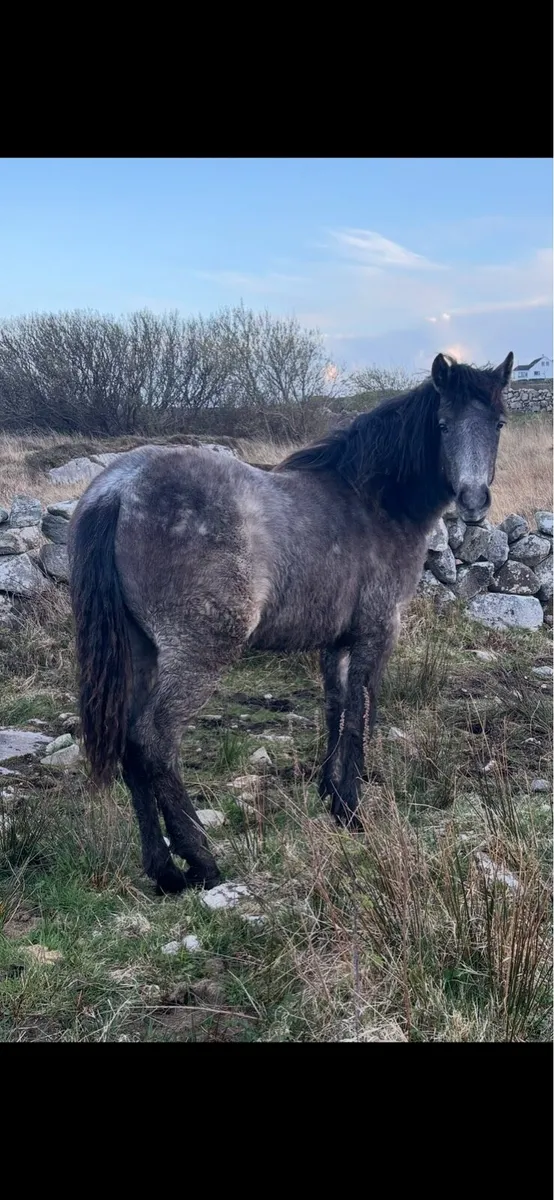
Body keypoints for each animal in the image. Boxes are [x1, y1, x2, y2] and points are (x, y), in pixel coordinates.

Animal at [68, 350, 513, 894]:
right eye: (444, 424)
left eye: (498, 422)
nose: (473, 502)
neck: (372, 501)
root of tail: (120, 488)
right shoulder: (377, 632)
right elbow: (360, 712)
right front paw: (352, 811)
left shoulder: (337, 640)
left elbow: (335, 707)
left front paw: (329, 795)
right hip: (197, 653)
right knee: (154, 742)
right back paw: (201, 861)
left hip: (141, 650)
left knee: (132, 749)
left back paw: (164, 870)